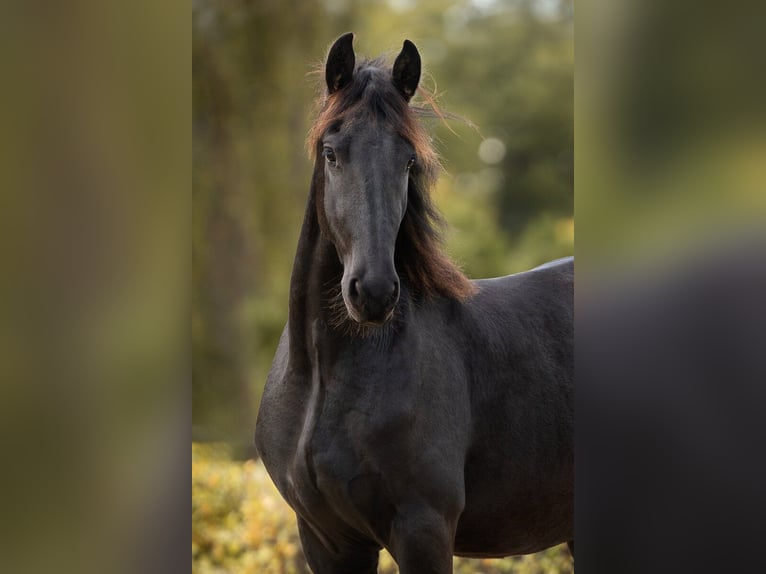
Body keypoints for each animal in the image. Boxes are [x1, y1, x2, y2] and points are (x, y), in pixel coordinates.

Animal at [255, 33, 572, 572]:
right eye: (331, 153)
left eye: (407, 161)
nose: (374, 291)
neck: (323, 380)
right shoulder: (326, 540)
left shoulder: (423, 530)